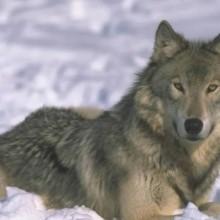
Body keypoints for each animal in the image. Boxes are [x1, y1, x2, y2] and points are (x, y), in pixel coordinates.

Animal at [0, 21, 220, 220]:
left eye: (212, 88)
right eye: (178, 86)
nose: (193, 125)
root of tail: (12, 132)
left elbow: (208, 205)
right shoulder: (141, 214)